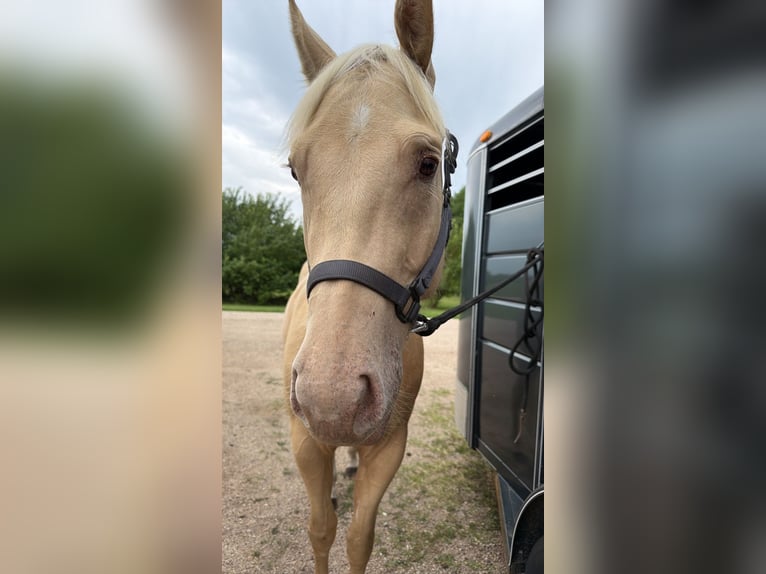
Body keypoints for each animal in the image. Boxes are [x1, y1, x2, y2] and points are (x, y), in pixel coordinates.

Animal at [282, 1, 454, 572]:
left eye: (428, 163)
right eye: (296, 170)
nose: (331, 398)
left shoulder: (390, 444)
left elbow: (359, 535)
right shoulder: (305, 439)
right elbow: (320, 529)